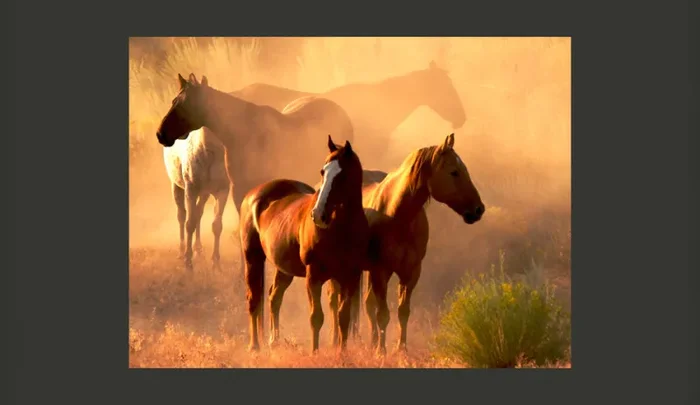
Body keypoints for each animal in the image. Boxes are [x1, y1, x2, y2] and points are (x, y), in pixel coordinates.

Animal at [162, 129, 230, 270]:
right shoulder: (191, 190)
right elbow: (189, 224)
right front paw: (188, 262)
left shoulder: (223, 191)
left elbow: (217, 225)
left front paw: (216, 262)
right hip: (176, 186)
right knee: (182, 216)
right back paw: (181, 251)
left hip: (204, 194)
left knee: (198, 214)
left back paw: (198, 249)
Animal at [238, 135, 369, 353]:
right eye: (323, 171)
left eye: (342, 174)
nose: (318, 215)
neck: (340, 229)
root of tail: (253, 196)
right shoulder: (313, 276)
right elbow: (316, 317)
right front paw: (314, 353)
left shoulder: (350, 276)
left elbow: (343, 317)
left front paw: (342, 353)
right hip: (253, 258)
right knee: (253, 299)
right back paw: (254, 346)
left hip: (284, 269)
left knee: (274, 297)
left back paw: (274, 341)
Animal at [327, 133, 485, 354]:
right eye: (454, 172)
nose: (479, 209)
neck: (397, 214)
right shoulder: (381, 271)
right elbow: (383, 313)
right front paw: (381, 352)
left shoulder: (411, 272)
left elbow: (403, 311)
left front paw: (400, 349)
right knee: (336, 303)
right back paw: (336, 343)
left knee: (366, 304)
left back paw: (371, 342)